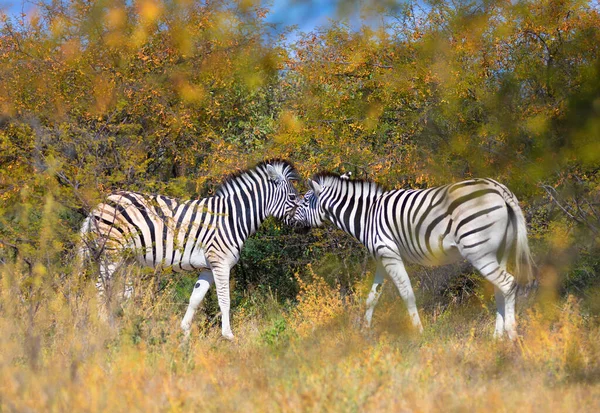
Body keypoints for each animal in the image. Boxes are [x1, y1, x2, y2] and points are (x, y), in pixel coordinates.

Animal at [79, 159, 300, 340]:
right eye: (292, 197)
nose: (305, 222)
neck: (232, 219)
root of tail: (99, 204)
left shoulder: (209, 267)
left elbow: (195, 299)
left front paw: (184, 333)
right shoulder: (220, 262)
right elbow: (225, 299)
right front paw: (228, 336)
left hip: (126, 258)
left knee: (119, 293)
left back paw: (122, 325)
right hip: (111, 253)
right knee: (99, 288)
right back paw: (103, 327)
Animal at [290, 172, 536, 340]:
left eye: (305, 201)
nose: (289, 220)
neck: (368, 215)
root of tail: (499, 188)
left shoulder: (389, 253)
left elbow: (407, 294)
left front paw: (419, 332)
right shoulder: (382, 258)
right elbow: (372, 298)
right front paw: (364, 332)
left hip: (478, 249)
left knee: (508, 283)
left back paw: (511, 335)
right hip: (498, 251)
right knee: (499, 289)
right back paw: (497, 337)